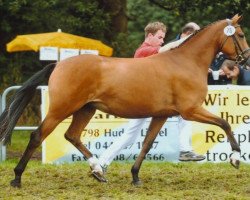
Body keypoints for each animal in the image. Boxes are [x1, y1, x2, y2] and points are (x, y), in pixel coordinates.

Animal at [0, 14, 250, 188]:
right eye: (240, 35)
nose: (246, 59)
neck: (185, 62)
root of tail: (59, 64)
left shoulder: (162, 114)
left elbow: (147, 144)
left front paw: (135, 176)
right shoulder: (190, 110)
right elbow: (225, 123)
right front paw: (236, 158)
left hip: (85, 110)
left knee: (72, 135)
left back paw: (98, 171)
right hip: (62, 108)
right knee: (37, 136)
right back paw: (17, 178)